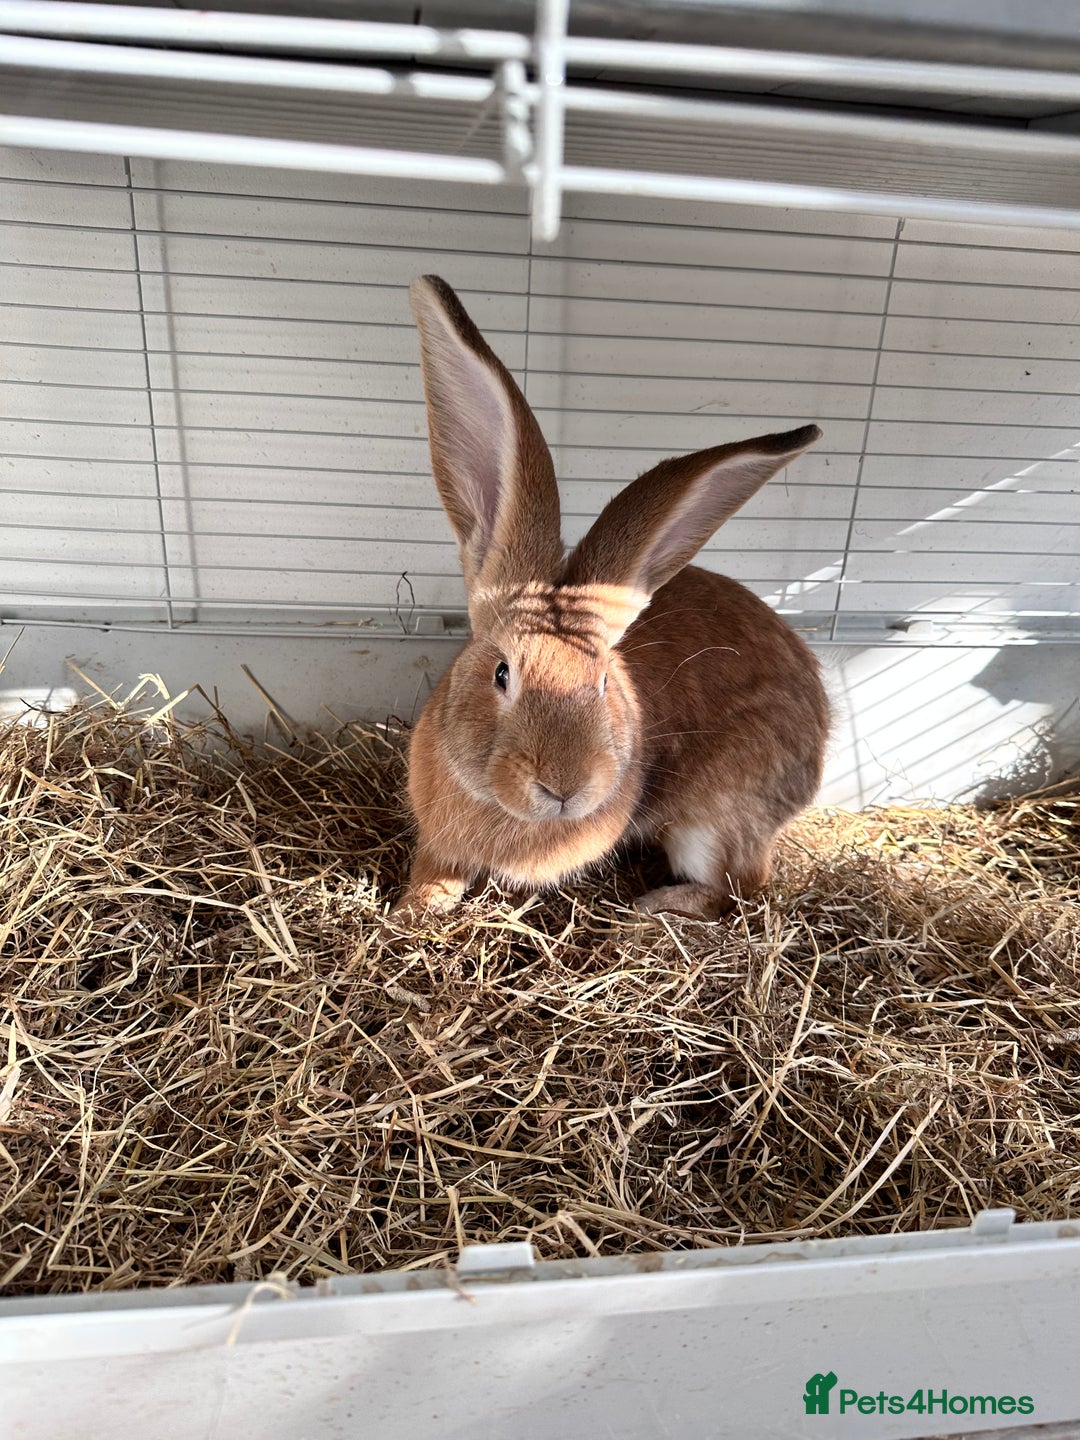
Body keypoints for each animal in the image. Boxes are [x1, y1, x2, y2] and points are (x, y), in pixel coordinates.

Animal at [389, 275, 829, 924]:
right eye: (502, 673)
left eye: (602, 682)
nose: (564, 788)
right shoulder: (438, 841)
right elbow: (433, 874)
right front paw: (412, 910)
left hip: (714, 819)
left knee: (739, 887)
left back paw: (653, 906)